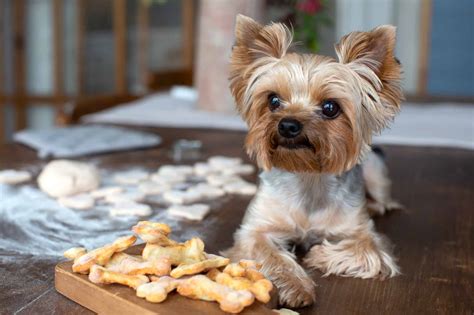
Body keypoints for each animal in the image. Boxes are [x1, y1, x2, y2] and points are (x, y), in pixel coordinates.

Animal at [224, 15, 402, 308]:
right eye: (273, 100)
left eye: (330, 107)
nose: (288, 125)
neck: (306, 174)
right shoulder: (254, 231)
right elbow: (269, 254)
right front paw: (296, 286)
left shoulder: (362, 232)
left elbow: (368, 250)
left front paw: (318, 254)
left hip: (375, 172)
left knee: (384, 200)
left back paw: (376, 206)